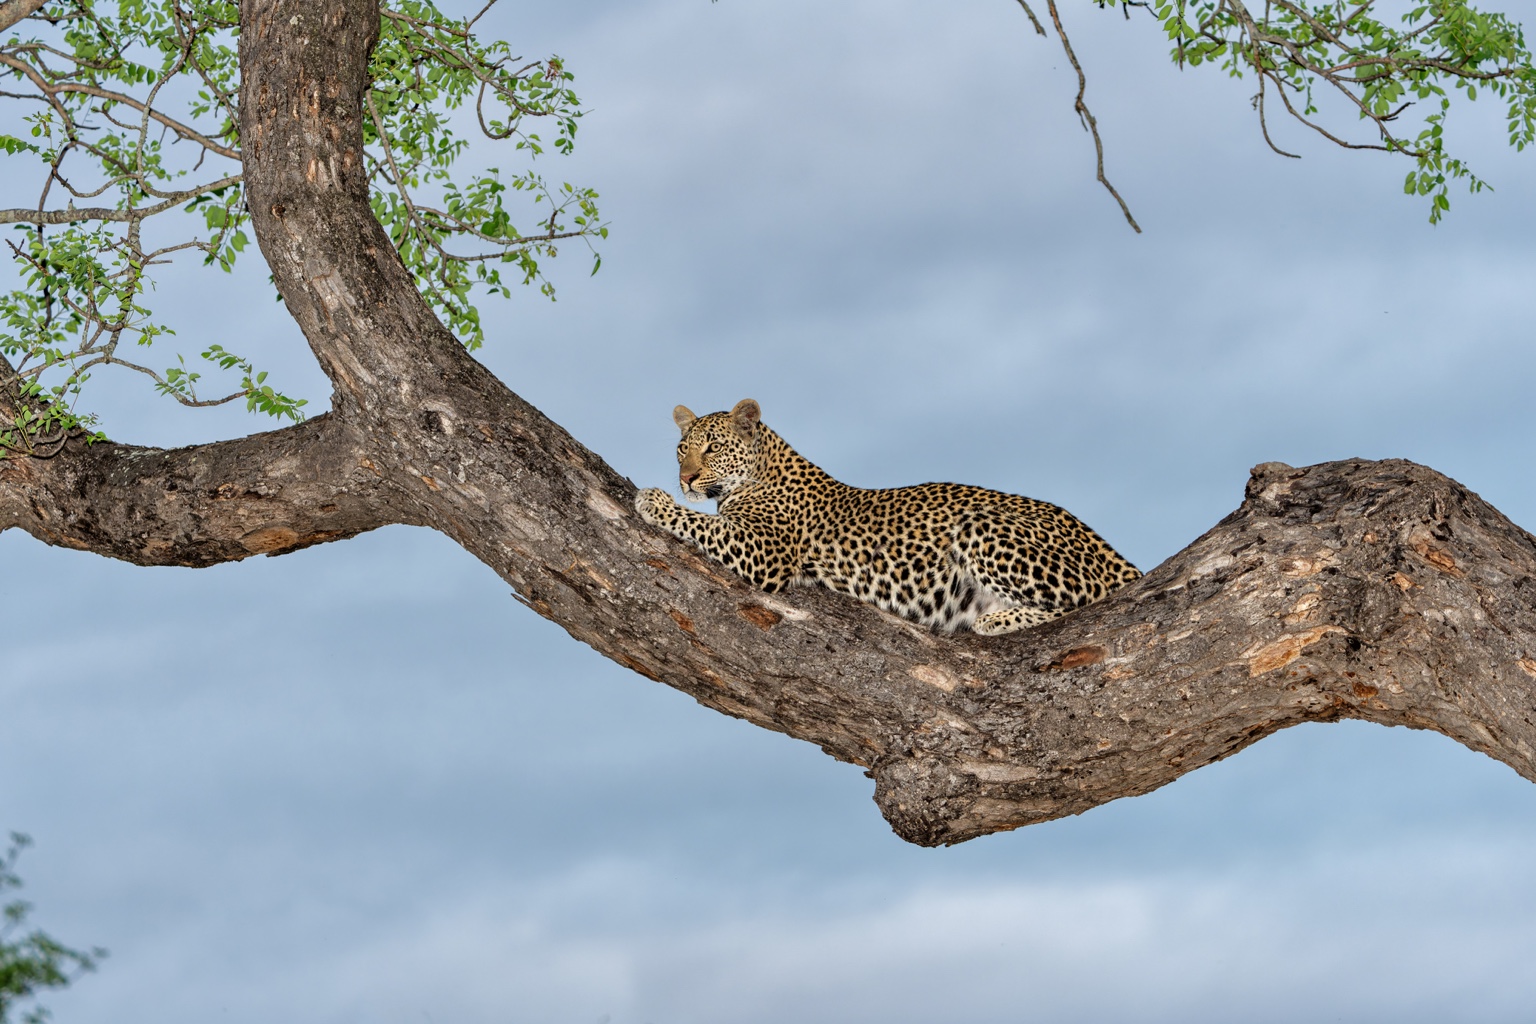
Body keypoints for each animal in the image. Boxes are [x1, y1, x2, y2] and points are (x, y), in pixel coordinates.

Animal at [633, 399, 1141, 635]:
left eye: (712, 448)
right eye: (682, 448)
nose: (684, 478)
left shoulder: (767, 552)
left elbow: (703, 523)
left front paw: (652, 499)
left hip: (981, 525)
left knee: (1082, 602)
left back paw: (994, 620)